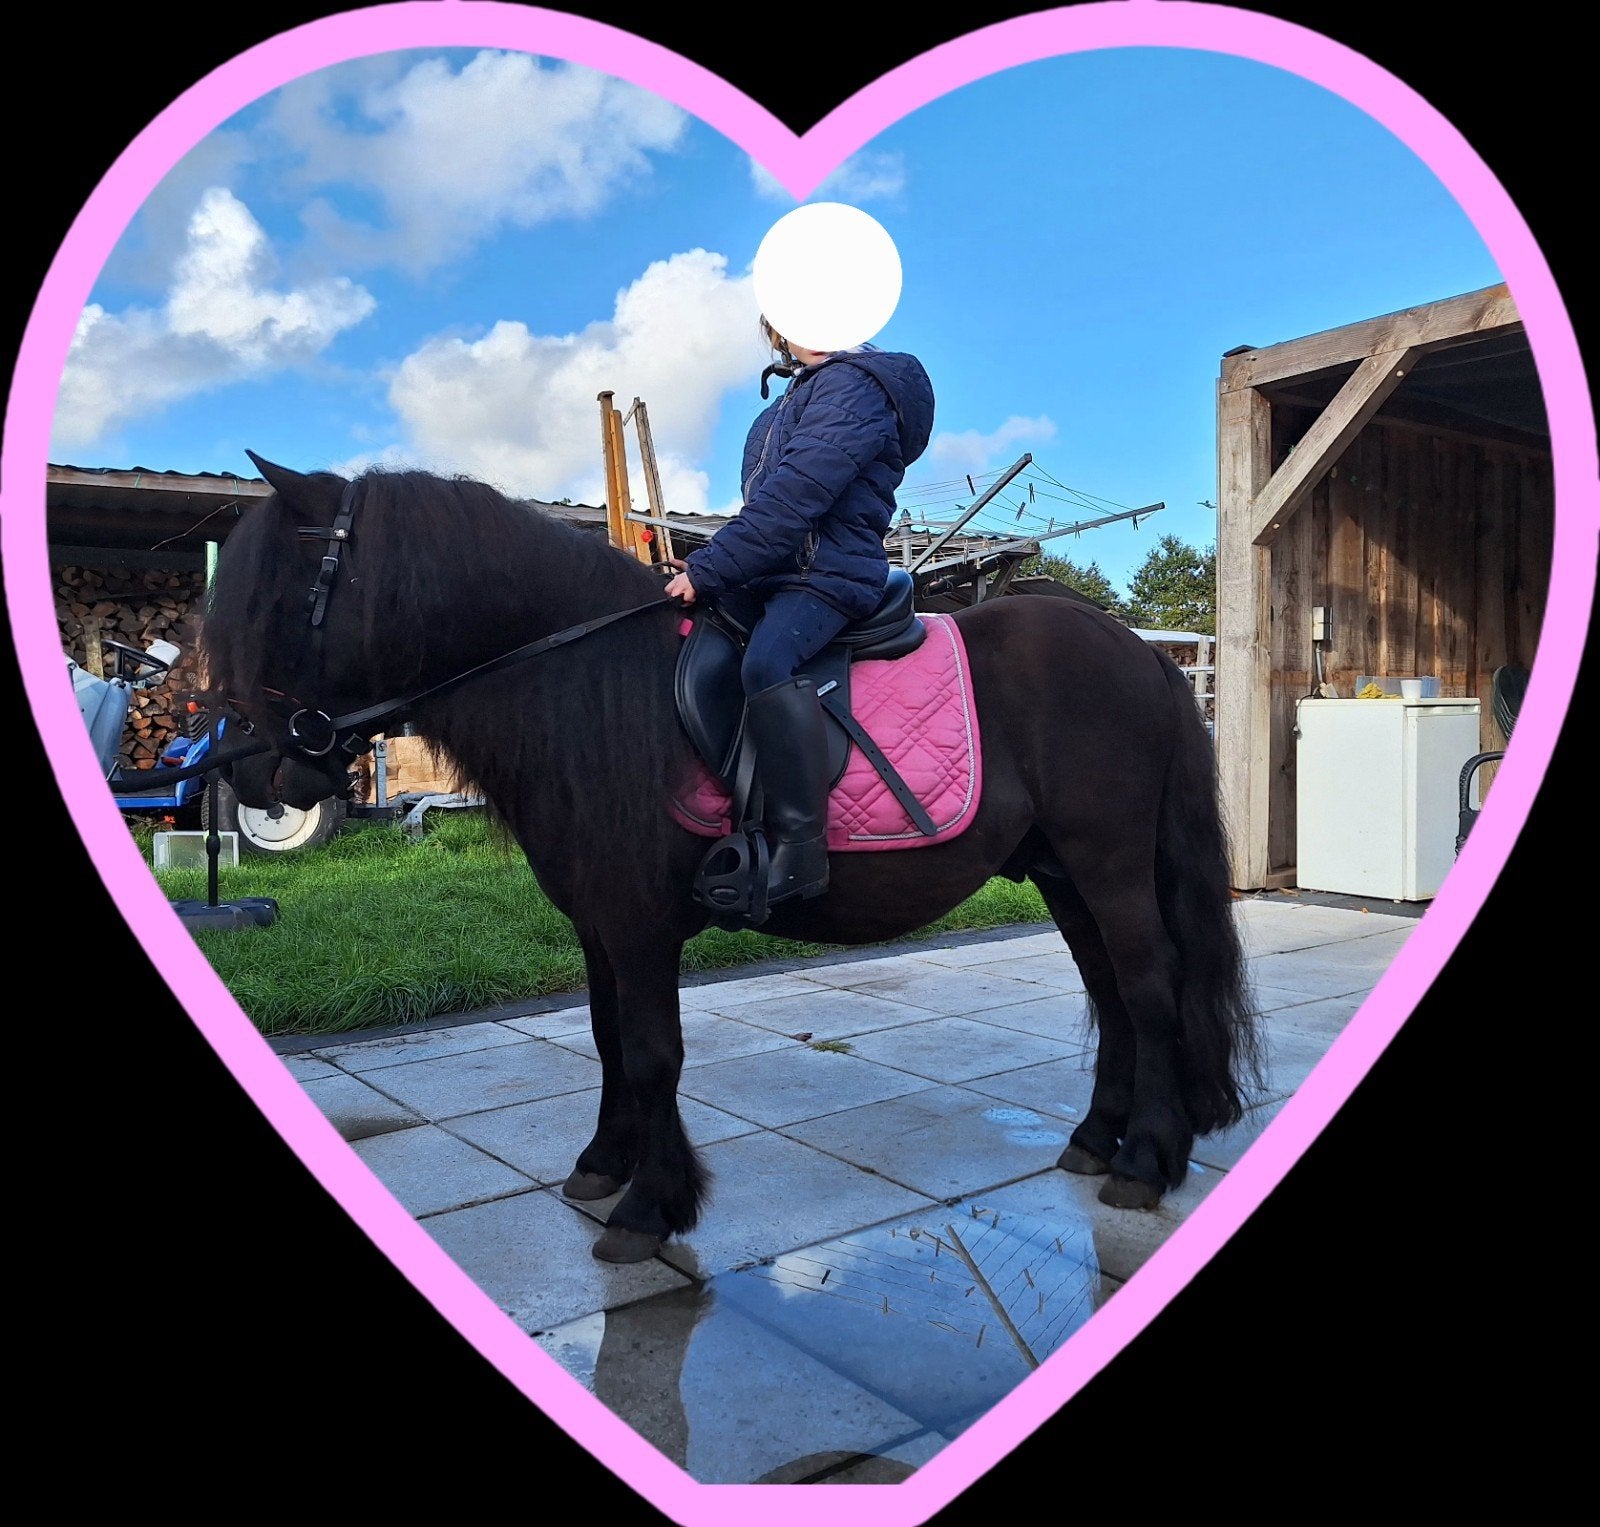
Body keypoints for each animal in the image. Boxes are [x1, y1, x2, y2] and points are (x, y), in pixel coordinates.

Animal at [198, 456, 1263, 1264]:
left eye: (287, 599)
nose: (246, 770)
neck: (581, 677)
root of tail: (1143, 653)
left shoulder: (637, 923)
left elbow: (652, 1051)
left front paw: (650, 1206)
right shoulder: (598, 922)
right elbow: (609, 1042)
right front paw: (604, 1164)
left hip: (1109, 860)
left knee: (1150, 984)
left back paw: (1145, 1161)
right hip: (1059, 869)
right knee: (1111, 990)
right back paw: (1096, 1140)